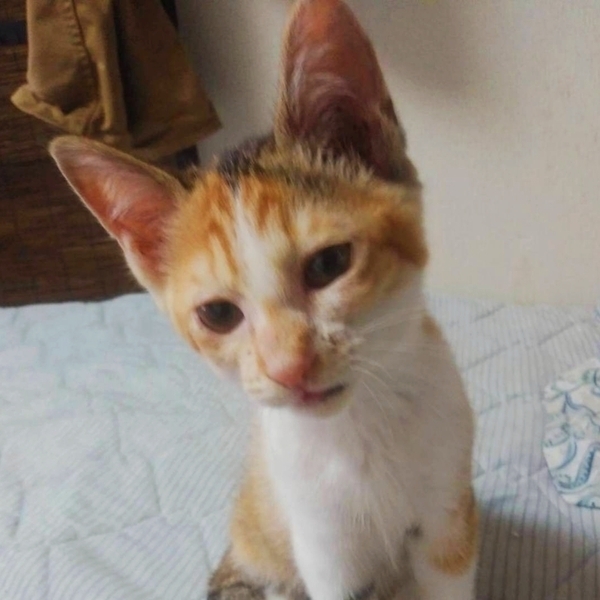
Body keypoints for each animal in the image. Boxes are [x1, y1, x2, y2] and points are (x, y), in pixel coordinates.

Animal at [49, 1, 478, 599]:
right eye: (218, 314)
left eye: (328, 265)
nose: (288, 368)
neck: (359, 430)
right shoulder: (322, 543)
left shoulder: (449, 514)